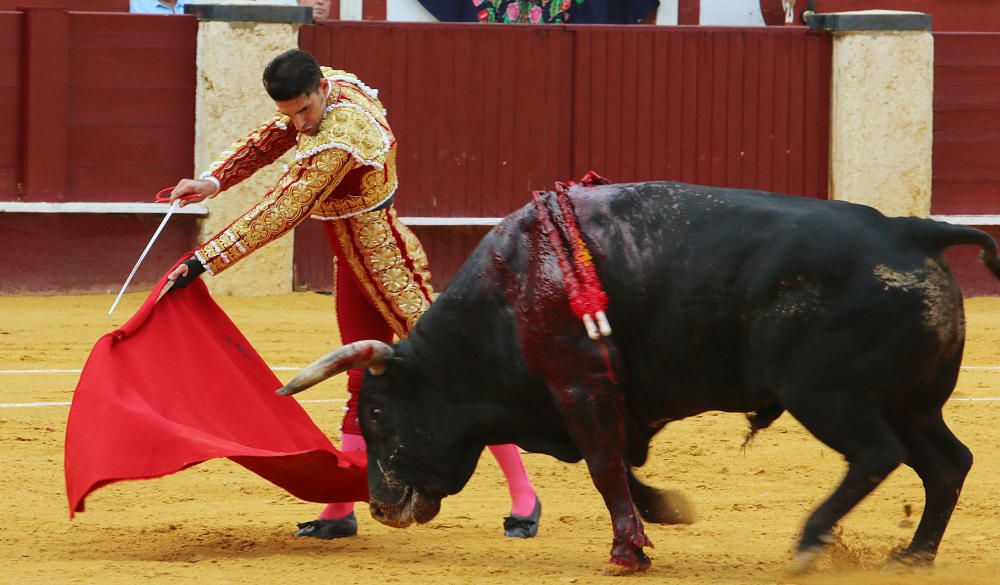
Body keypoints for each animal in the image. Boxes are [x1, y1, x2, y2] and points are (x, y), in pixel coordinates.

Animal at [276, 182, 1000, 576]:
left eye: (375, 414)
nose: (379, 504)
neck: (512, 293)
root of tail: (912, 233)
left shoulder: (580, 390)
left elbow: (603, 467)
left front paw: (627, 552)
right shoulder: (602, 402)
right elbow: (623, 466)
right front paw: (667, 513)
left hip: (827, 396)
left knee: (879, 455)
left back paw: (807, 542)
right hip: (912, 401)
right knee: (947, 462)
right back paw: (913, 556)